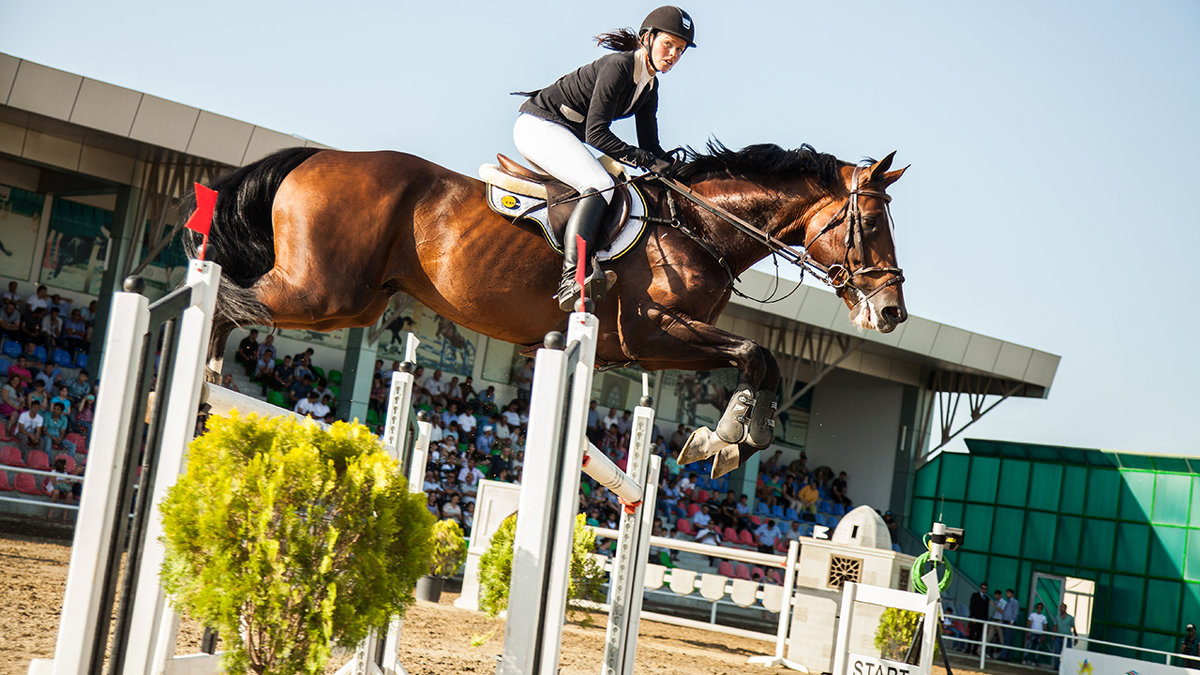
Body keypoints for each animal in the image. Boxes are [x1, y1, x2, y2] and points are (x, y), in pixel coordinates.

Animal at [182, 141, 902, 475]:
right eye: (869, 223)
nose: (891, 312)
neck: (700, 225)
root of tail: (315, 158)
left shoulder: (640, 347)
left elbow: (758, 359)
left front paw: (721, 439)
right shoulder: (650, 332)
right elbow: (758, 353)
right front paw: (724, 441)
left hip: (348, 305)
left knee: (237, 306)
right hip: (320, 291)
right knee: (227, 301)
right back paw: (205, 389)